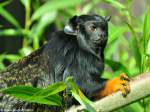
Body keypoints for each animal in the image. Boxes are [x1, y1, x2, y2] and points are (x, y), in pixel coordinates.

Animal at [0, 14, 130, 111]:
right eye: (93, 28)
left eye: (104, 28)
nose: (102, 34)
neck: (81, 44)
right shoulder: (72, 54)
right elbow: (77, 84)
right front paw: (115, 83)